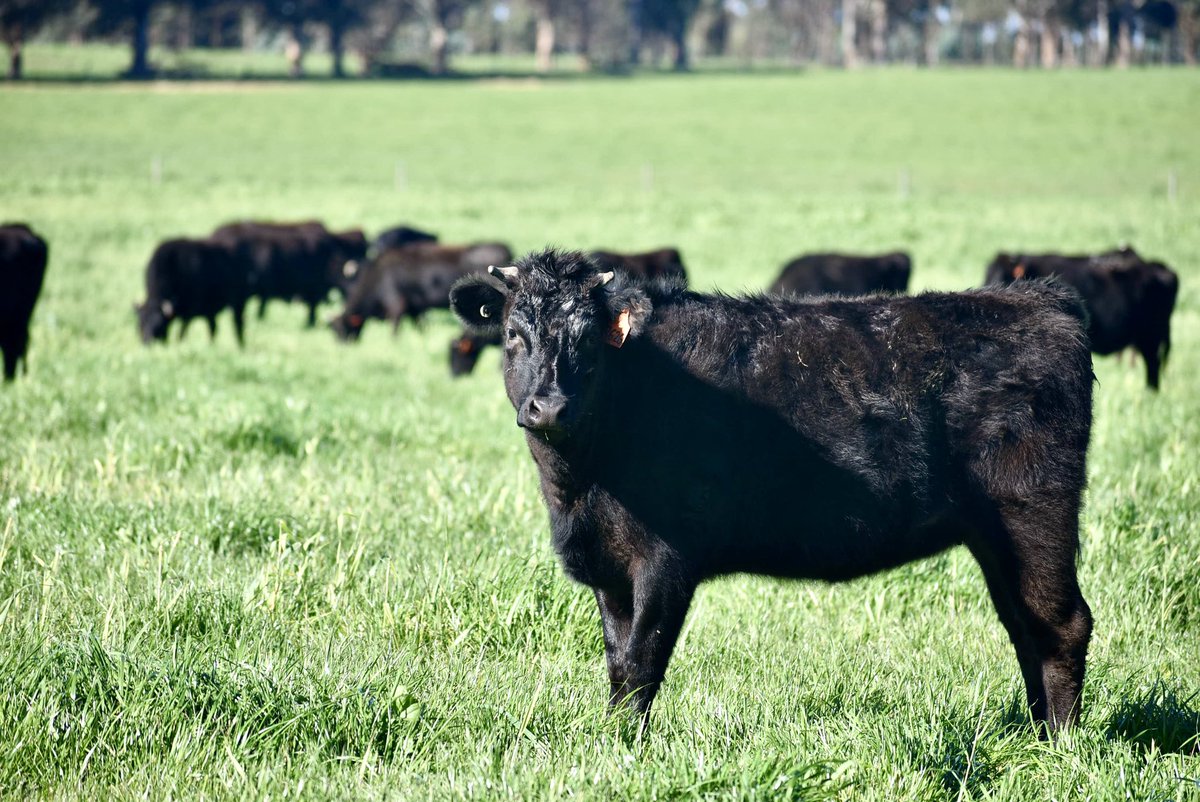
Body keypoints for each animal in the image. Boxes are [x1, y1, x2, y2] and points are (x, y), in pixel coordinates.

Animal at [331, 242, 512, 341]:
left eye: (341, 329)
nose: (343, 345)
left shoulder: (396, 305)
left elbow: (395, 329)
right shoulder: (415, 309)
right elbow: (420, 327)